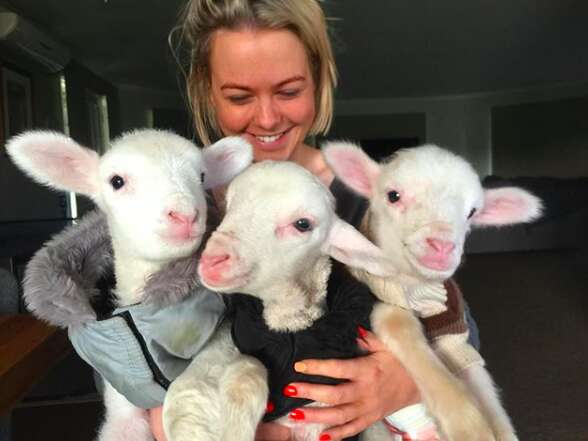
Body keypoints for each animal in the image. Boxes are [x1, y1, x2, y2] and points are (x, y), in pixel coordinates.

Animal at [163, 161, 398, 440]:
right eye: (230, 205)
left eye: (303, 224)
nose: (213, 259)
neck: (286, 329)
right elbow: (244, 368)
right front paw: (235, 429)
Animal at [322, 142, 544, 440]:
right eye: (393, 196)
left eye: (472, 212)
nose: (442, 246)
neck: (415, 288)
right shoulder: (377, 304)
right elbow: (399, 325)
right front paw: (471, 429)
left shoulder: (453, 329)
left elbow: (479, 383)